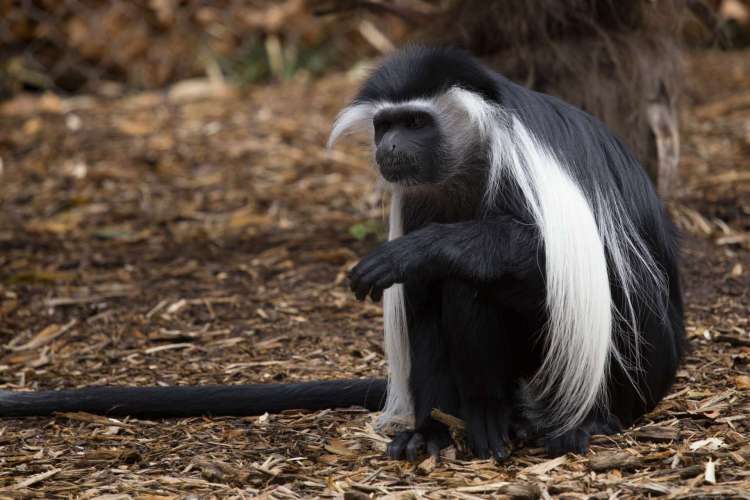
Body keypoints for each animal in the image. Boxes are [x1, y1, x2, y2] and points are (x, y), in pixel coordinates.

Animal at [0, 47, 684, 460]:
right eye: (386, 125)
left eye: (415, 122)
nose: (389, 147)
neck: (473, 152)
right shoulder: (420, 194)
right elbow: (421, 298)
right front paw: (424, 431)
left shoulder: (521, 161)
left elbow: (542, 255)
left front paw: (413, 253)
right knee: (439, 299)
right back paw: (441, 430)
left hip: (613, 372)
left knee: (484, 281)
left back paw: (543, 422)